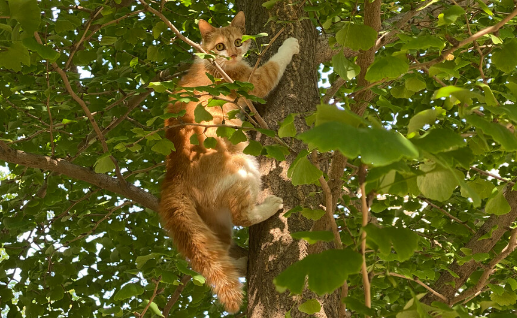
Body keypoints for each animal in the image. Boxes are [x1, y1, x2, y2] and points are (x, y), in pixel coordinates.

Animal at [160, 11, 298, 312]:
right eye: (221, 46)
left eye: (237, 40)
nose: (234, 54)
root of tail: (172, 175)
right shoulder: (252, 81)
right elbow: (274, 64)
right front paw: (290, 45)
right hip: (243, 166)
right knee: (242, 217)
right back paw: (268, 207)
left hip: (210, 226)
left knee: (215, 252)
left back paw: (241, 264)